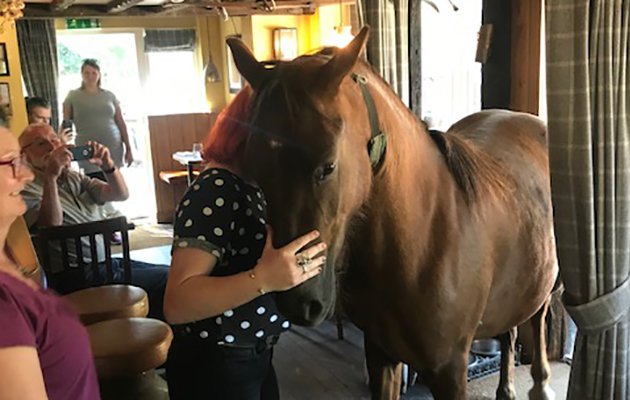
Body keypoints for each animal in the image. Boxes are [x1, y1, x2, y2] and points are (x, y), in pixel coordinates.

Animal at [227, 26, 556, 398]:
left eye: (328, 166)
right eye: (255, 167)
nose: (299, 303)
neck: (424, 241)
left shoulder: (449, 369)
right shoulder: (380, 353)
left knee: (538, 319)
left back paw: (541, 384)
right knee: (511, 330)